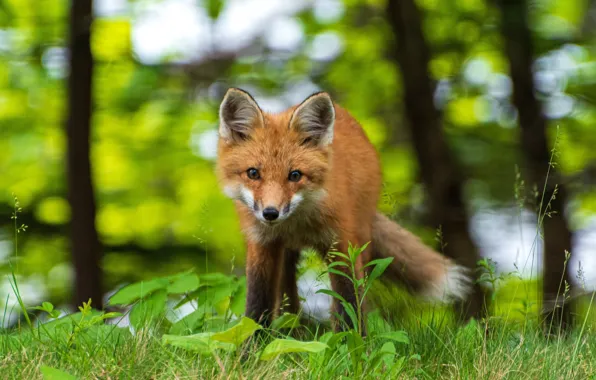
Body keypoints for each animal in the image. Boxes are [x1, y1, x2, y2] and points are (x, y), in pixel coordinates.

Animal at [214, 88, 470, 330]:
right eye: (253, 173)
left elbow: (349, 303)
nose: (270, 213)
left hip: (361, 240)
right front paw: (252, 347)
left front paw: (353, 343)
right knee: (288, 304)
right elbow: (257, 306)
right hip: (284, 259)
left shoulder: (342, 244)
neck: (296, 225)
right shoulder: (262, 246)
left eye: (295, 175)